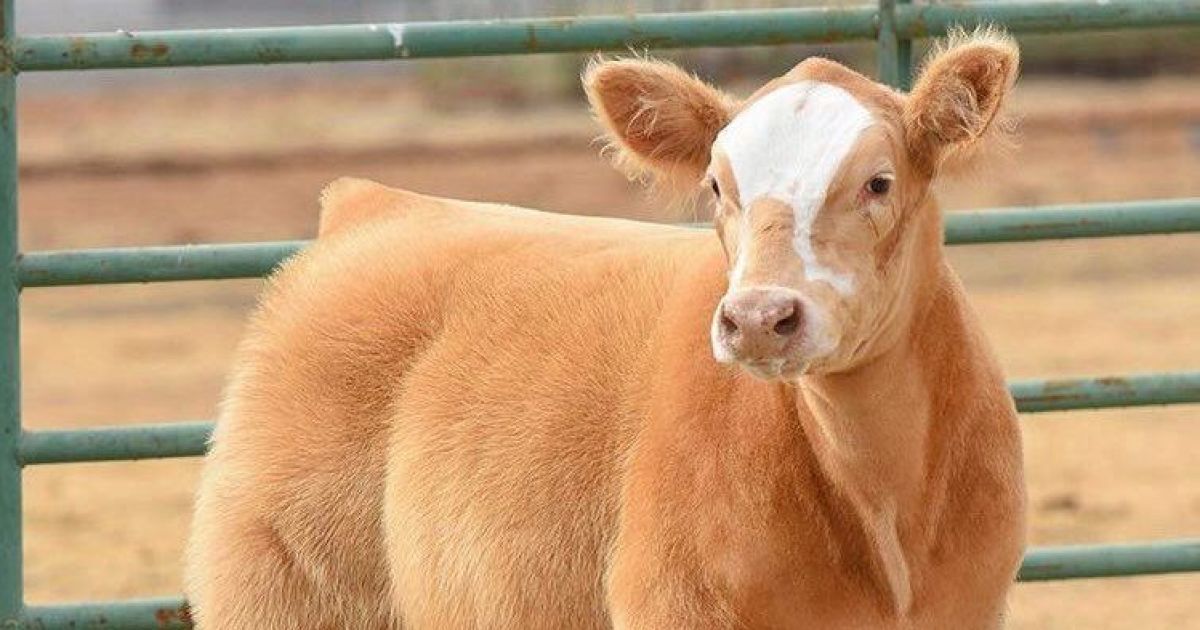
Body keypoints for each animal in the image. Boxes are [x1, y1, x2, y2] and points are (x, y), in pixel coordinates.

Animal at [185, 28, 1026, 630]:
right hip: (279, 588)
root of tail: (374, 206)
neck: (879, 504)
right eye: (716, 185)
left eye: (878, 182)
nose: (759, 318)